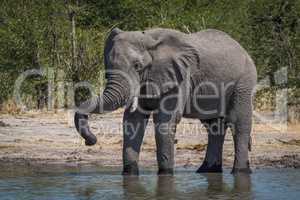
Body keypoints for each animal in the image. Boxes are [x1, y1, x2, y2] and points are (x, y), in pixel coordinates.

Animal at [74, 27, 256, 175]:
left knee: (239, 123)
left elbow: (164, 121)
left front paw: (165, 175)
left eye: (137, 66)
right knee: (214, 126)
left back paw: (239, 172)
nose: (90, 141)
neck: (149, 39)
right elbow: (133, 121)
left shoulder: (180, 76)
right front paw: (129, 175)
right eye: (107, 67)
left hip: (243, 82)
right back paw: (206, 171)